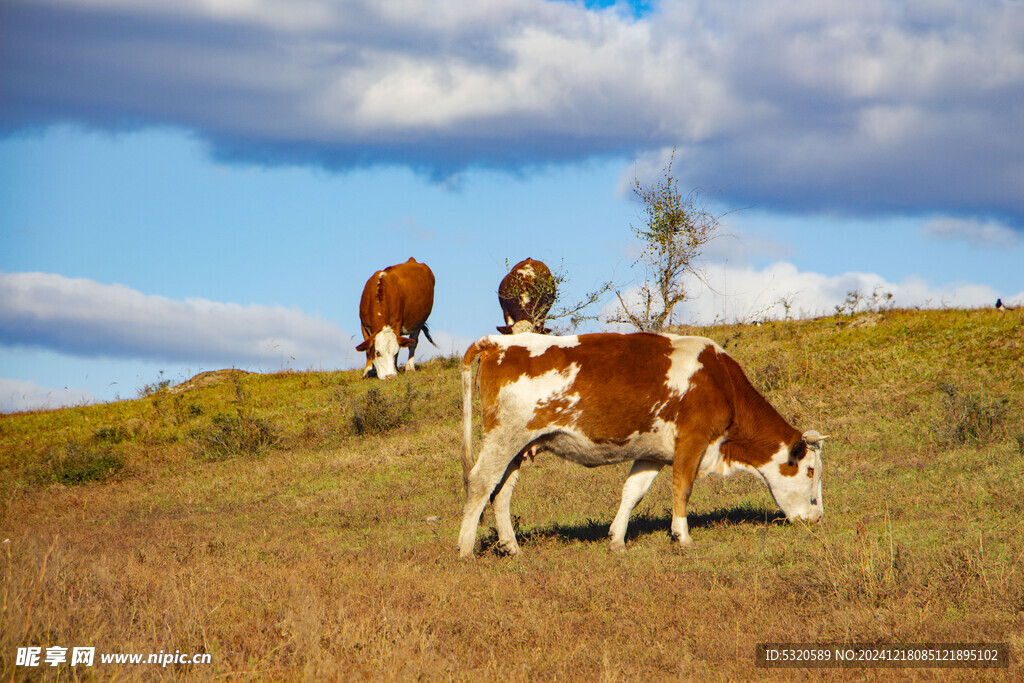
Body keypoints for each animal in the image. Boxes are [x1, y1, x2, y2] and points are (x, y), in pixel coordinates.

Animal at [460, 333, 827, 557]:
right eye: (811, 471)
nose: (817, 517)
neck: (720, 381)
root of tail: (497, 342)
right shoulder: (692, 440)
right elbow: (682, 488)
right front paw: (682, 537)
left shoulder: (652, 453)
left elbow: (633, 492)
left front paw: (617, 541)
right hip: (505, 436)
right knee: (480, 483)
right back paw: (465, 549)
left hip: (520, 446)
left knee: (501, 491)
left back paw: (512, 546)